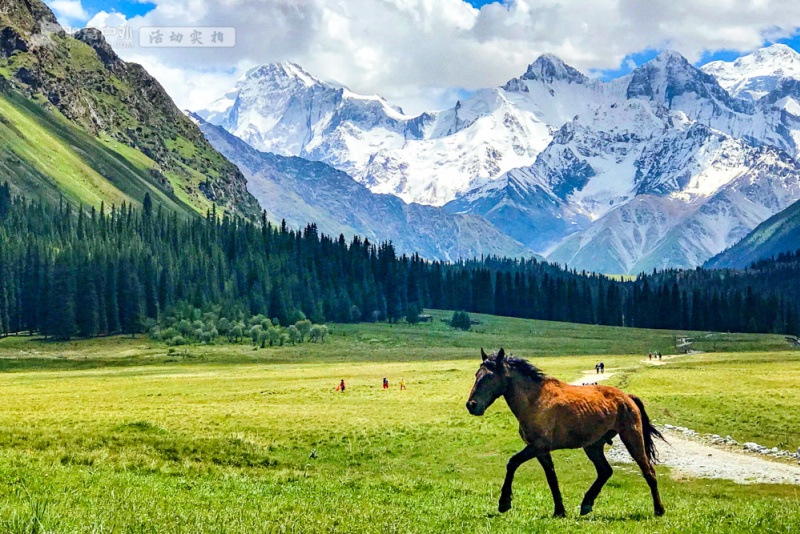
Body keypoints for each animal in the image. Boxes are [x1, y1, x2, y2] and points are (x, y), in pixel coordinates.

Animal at [466, 350, 664, 520]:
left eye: (489, 376)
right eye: (476, 375)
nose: (471, 405)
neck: (534, 400)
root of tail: (628, 397)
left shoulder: (537, 446)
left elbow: (512, 463)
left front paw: (504, 502)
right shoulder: (541, 450)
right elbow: (552, 478)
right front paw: (559, 510)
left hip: (632, 438)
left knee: (648, 472)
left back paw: (659, 510)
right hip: (593, 446)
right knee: (605, 471)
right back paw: (586, 504)